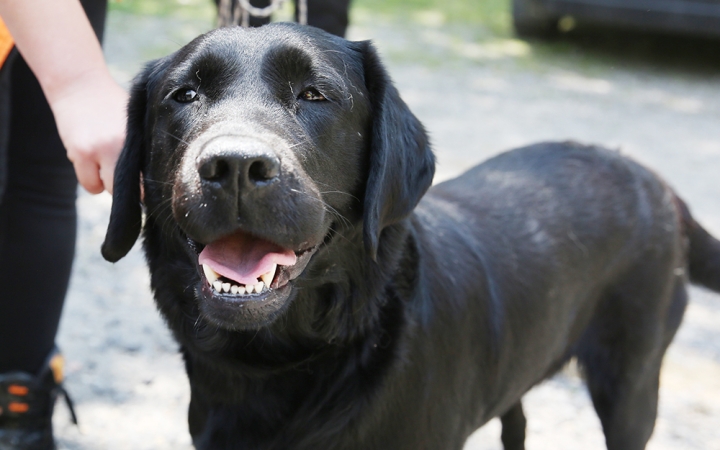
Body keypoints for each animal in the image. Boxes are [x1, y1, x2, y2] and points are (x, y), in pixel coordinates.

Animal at [101, 22, 720, 448]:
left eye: (315, 95)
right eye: (184, 95)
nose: (233, 166)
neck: (282, 365)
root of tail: (652, 177)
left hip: (632, 385)